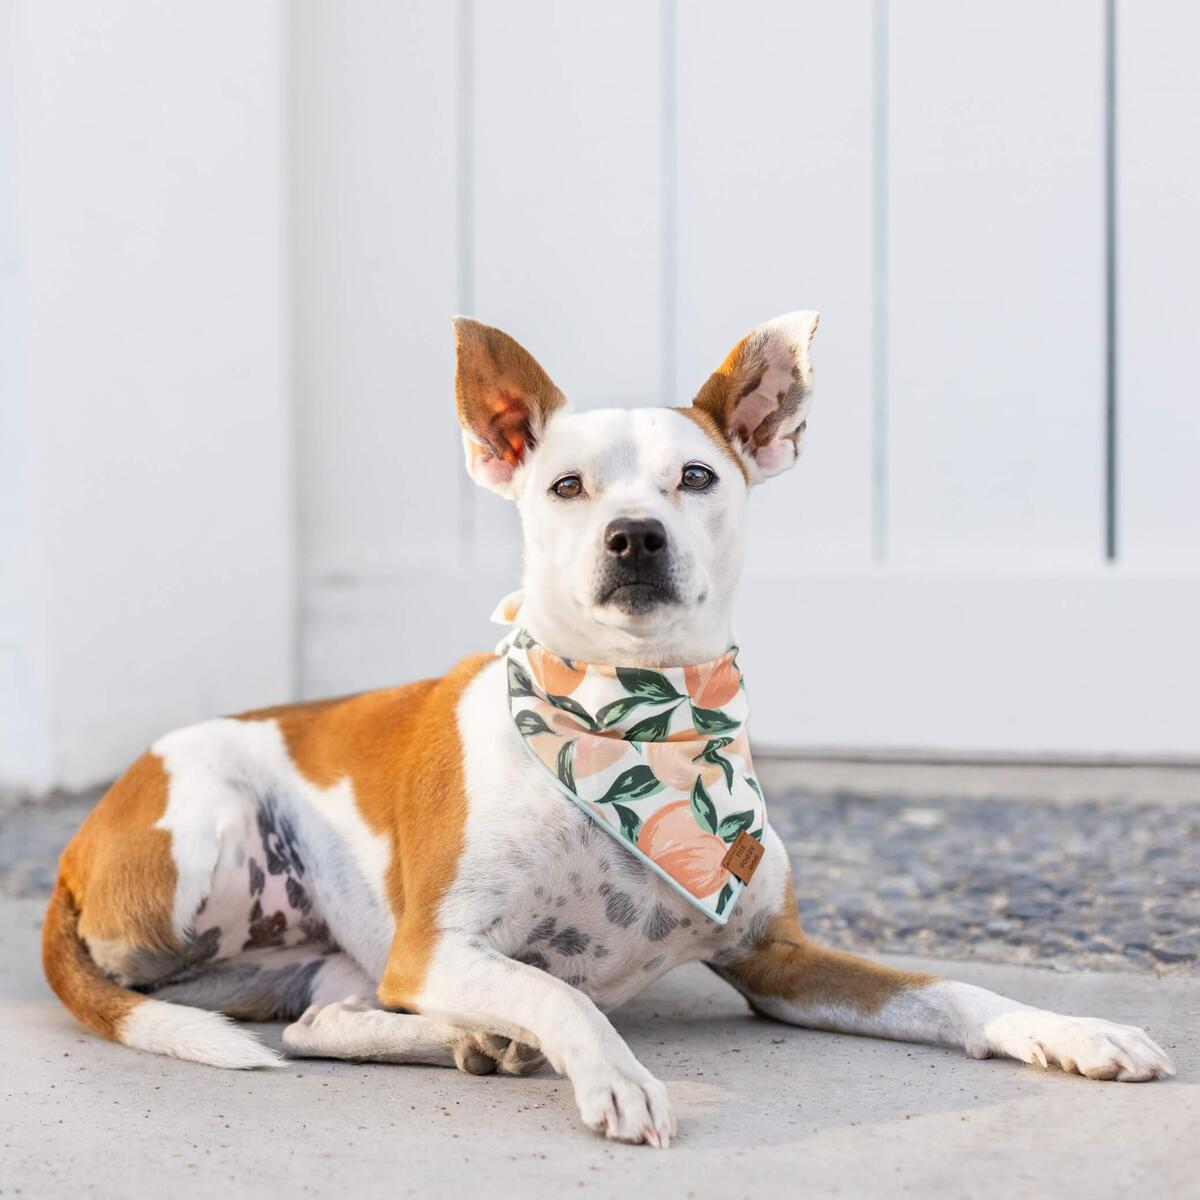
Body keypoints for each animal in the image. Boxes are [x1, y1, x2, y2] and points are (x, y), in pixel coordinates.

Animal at [44, 314, 1171, 1147]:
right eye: (566, 485)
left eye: (697, 477)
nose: (634, 536)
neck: (639, 716)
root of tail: (70, 854)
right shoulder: (435, 949)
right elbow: (559, 994)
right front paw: (611, 1074)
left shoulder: (781, 960)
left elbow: (955, 993)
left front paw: (1073, 1031)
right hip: (215, 826)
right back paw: (484, 1041)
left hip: (332, 964)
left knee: (323, 1022)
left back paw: (468, 1044)